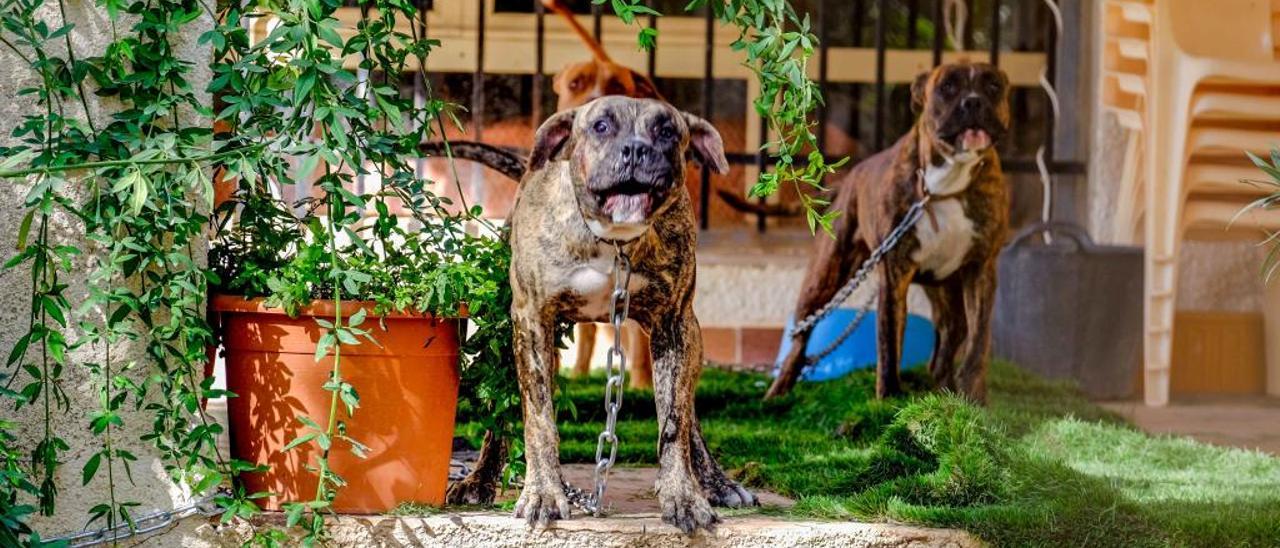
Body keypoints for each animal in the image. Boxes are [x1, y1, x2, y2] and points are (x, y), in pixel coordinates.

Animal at [506, 96, 752, 532]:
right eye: (601, 126)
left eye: (667, 131)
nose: (636, 149)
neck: (613, 241)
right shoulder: (532, 320)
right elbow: (540, 419)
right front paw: (543, 493)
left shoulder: (674, 324)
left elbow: (674, 422)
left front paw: (682, 495)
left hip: (692, 340)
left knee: (690, 417)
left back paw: (716, 482)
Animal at [762, 63, 1013, 402]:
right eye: (947, 87)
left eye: (993, 86)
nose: (973, 101)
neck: (944, 184)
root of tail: (849, 178)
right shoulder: (894, 273)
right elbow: (889, 342)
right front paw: (889, 397)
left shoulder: (981, 269)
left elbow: (978, 342)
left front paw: (973, 398)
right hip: (823, 277)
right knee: (800, 339)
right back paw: (777, 392)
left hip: (944, 286)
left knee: (951, 336)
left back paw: (944, 388)